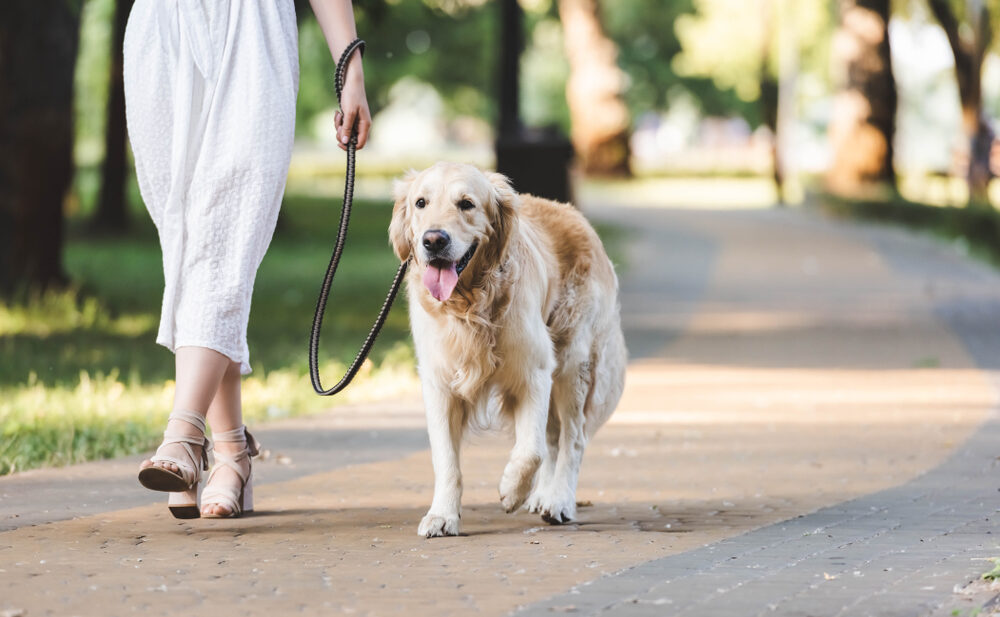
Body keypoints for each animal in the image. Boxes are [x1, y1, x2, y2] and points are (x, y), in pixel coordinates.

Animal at [390, 162, 624, 536]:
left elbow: (531, 450)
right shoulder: (439, 383)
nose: (433, 240)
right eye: (420, 203)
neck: (470, 306)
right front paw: (442, 515)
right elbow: (446, 459)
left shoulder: (535, 372)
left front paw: (512, 490)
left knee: (571, 439)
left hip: (573, 363)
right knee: (554, 436)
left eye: (466, 204)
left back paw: (558, 500)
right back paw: (542, 496)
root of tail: (576, 215)